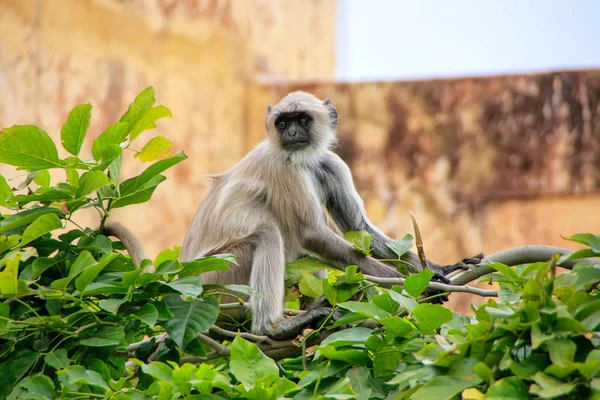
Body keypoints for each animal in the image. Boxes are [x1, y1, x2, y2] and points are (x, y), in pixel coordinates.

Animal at [176, 92, 480, 340]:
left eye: (302, 120)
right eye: (282, 123)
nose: (292, 133)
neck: (302, 160)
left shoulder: (329, 164)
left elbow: (357, 226)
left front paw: (440, 269)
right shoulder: (283, 166)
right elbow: (312, 234)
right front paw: (415, 285)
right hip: (218, 278)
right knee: (269, 234)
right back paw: (274, 328)